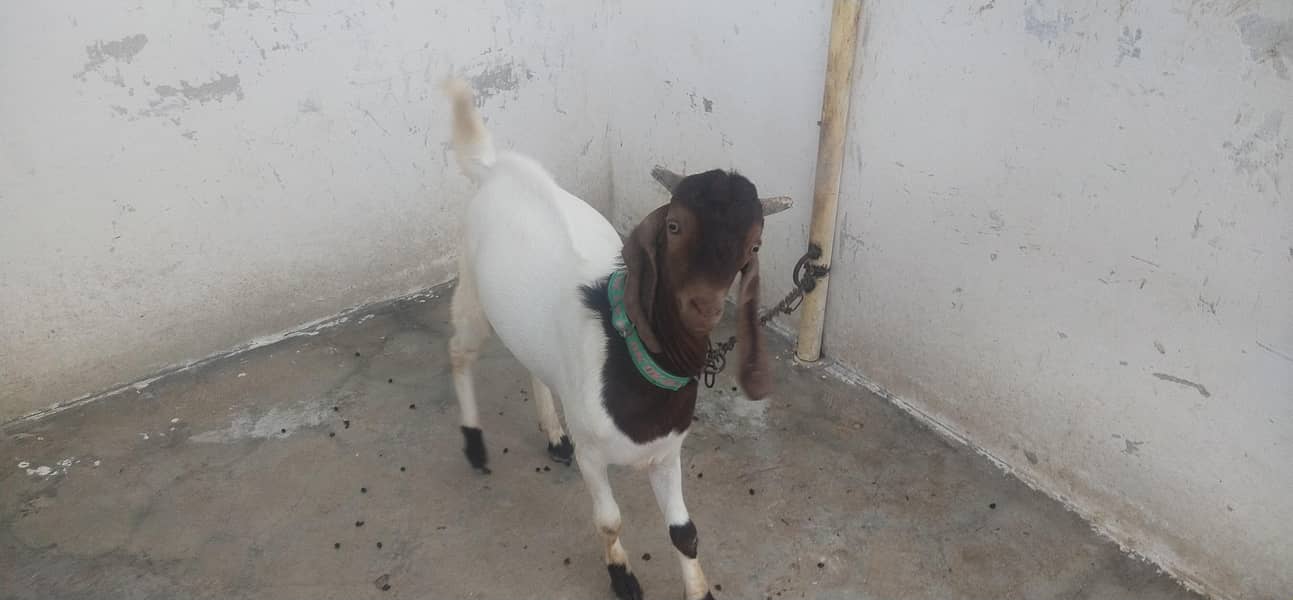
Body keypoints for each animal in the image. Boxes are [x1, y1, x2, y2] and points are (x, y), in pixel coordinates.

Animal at [443, 79, 790, 600]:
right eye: (674, 225)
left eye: (754, 244)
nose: (703, 306)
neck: (629, 356)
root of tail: (493, 167)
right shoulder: (593, 454)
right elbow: (609, 520)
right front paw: (622, 577)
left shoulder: (668, 453)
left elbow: (684, 532)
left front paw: (698, 588)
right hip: (470, 284)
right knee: (460, 352)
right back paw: (474, 446)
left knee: (532, 364)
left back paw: (553, 435)